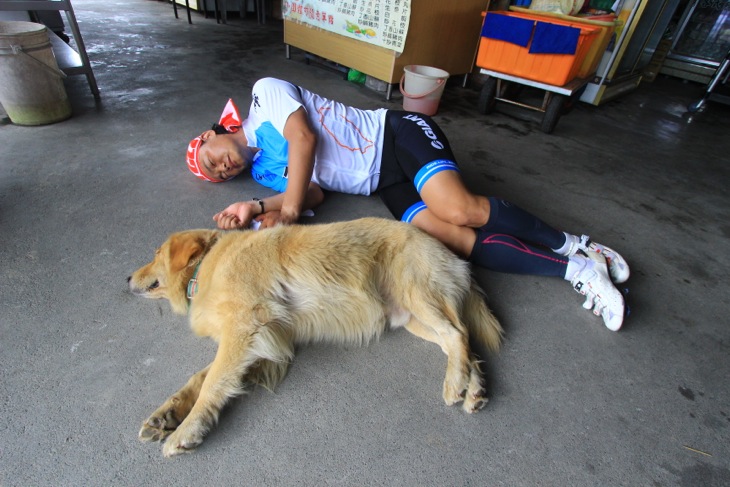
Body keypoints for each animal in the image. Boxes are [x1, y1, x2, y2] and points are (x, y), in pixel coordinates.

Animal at [128, 217, 500, 458]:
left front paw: (187, 429)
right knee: (463, 343)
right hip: (413, 317)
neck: (207, 265)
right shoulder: (265, 341)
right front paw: (167, 415)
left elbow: (211, 384)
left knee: (458, 334)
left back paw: (456, 384)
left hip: (418, 295)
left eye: (156, 254)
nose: (127, 278)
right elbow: (201, 378)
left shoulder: (245, 326)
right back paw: (474, 389)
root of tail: (453, 255)